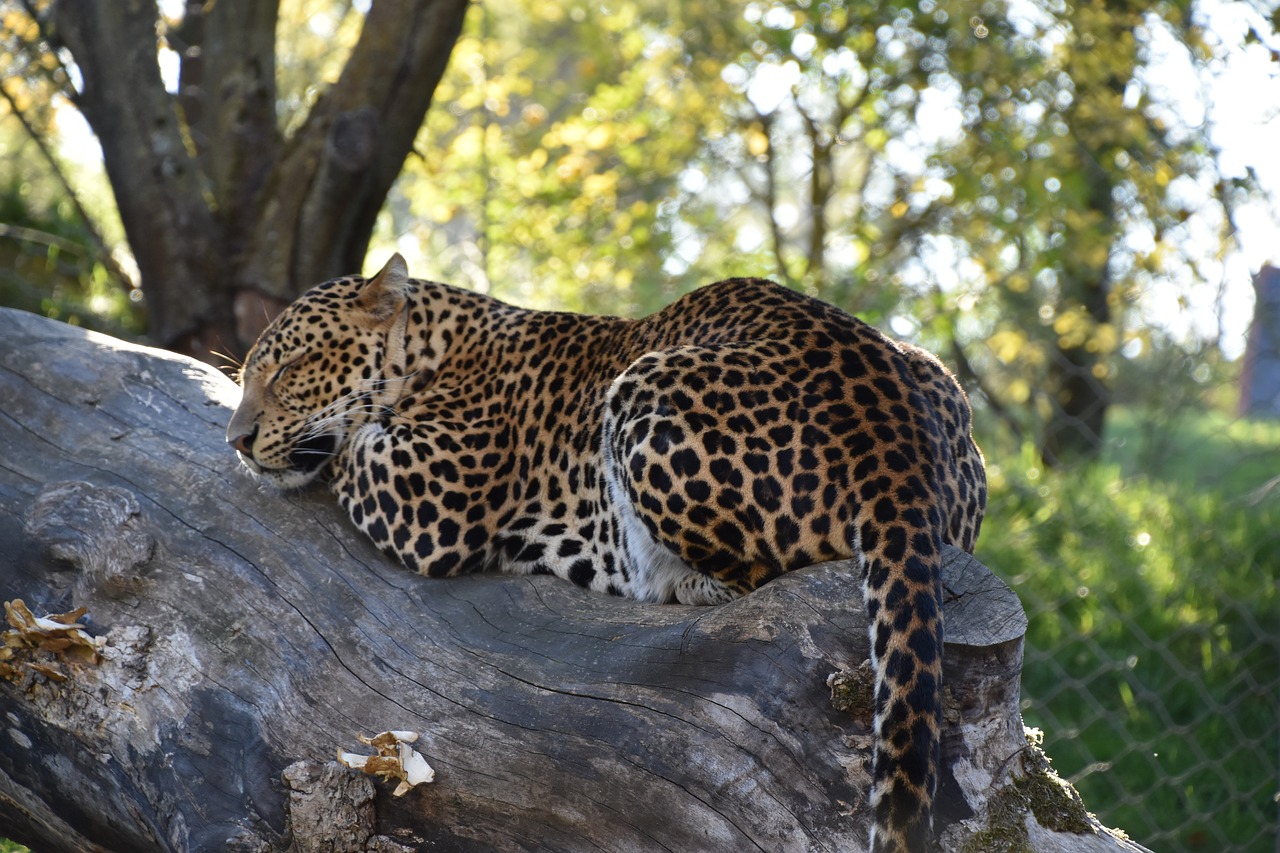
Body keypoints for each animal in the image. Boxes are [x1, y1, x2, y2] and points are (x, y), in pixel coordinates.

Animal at [227, 253, 988, 850]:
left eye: (290, 367)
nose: (236, 440)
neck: (437, 343)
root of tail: (893, 434)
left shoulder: (429, 494)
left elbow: (349, 445)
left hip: (646, 387)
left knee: (754, 572)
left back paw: (673, 581)